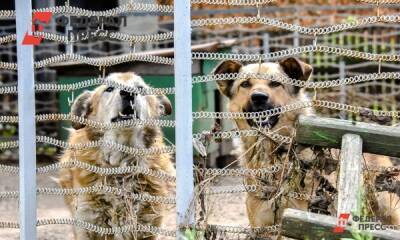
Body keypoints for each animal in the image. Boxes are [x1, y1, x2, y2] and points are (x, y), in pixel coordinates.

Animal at [58, 72, 175, 240]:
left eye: (140, 88)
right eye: (109, 88)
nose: (129, 93)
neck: (121, 162)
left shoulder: (148, 225)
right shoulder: (87, 222)